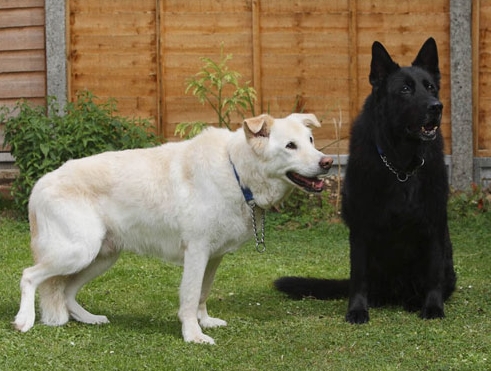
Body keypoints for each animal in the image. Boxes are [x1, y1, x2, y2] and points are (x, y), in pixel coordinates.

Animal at [13, 113, 332, 346]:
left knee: (66, 291)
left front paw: (204, 322)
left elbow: (203, 293)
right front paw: (193, 335)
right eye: (290, 146)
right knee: (29, 275)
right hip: (78, 252)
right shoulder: (197, 252)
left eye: (311, 140)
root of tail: (40, 184)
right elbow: (190, 297)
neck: (236, 171)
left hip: (100, 258)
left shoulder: (213, 257)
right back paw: (24, 320)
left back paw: (89, 318)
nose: (327, 162)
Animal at [276, 36, 458, 324]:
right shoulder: (362, 228)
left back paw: (413, 301)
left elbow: (433, 275)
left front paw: (432, 307)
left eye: (430, 87)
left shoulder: (434, 224)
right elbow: (359, 277)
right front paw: (357, 309)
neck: (400, 165)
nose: (436, 107)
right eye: (405, 89)